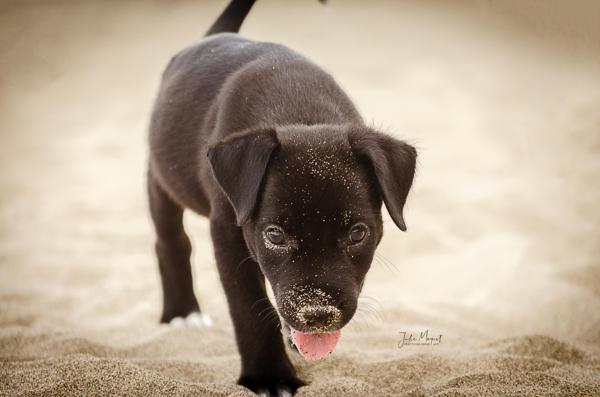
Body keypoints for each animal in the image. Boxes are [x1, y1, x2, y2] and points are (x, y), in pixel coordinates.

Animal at [148, 1, 414, 394]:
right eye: (275, 235)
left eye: (357, 233)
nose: (317, 314)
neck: (299, 114)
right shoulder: (227, 231)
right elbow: (249, 307)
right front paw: (269, 376)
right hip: (160, 176)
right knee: (171, 240)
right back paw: (182, 312)